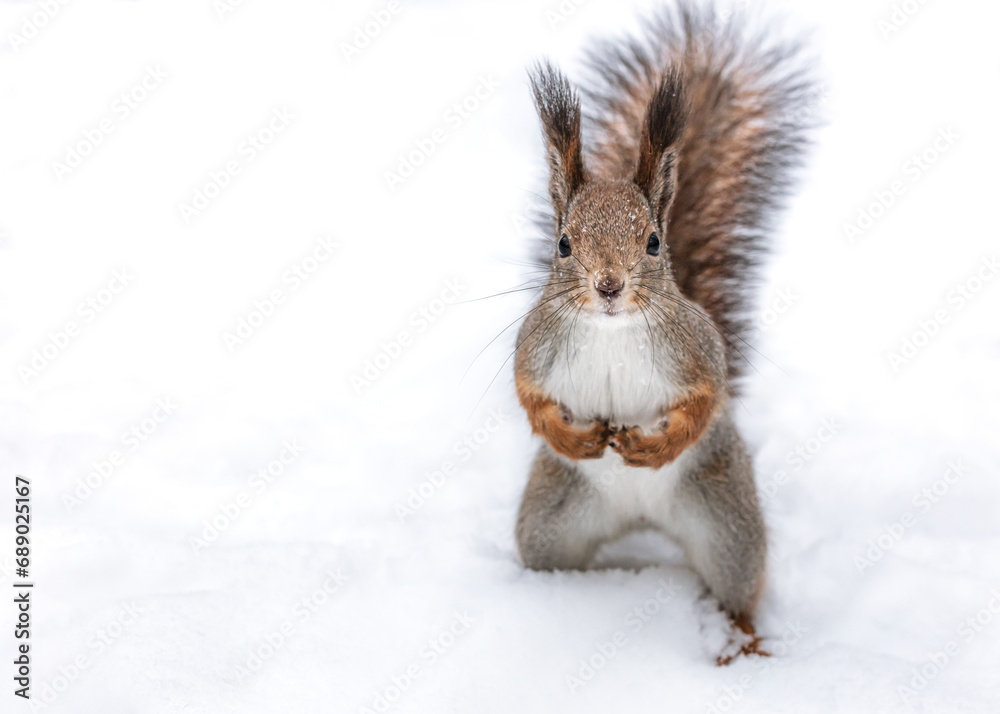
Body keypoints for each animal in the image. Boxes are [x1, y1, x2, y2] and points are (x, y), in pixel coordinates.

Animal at [513, 2, 815, 663]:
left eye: (653, 242)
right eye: (563, 243)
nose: (609, 285)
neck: (610, 331)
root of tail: (640, 518)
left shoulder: (696, 349)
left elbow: (705, 399)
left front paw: (653, 447)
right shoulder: (534, 347)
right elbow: (531, 398)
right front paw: (570, 436)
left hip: (726, 522)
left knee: (737, 587)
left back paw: (742, 639)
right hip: (550, 521)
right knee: (547, 553)